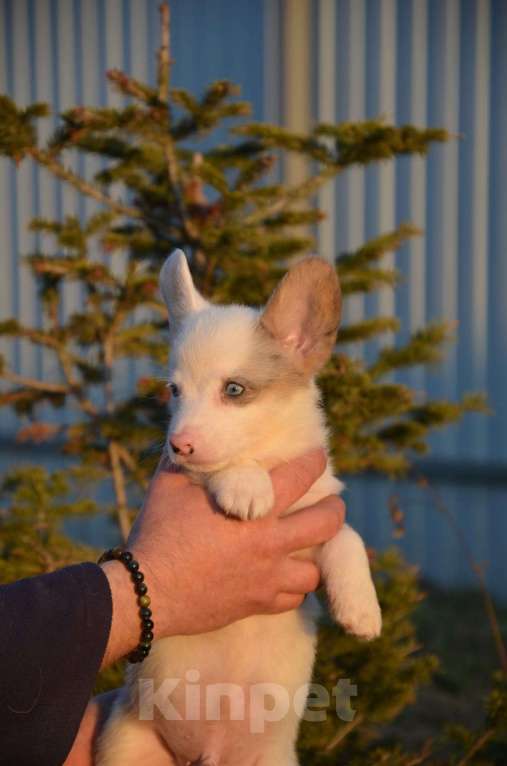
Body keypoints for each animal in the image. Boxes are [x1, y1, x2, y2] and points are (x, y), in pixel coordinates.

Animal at [98, 254, 380, 766]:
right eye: (174, 390)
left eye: (234, 389)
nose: (178, 443)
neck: (270, 456)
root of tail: (204, 754)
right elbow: (222, 468)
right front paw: (246, 485)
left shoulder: (317, 519)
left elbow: (347, 537)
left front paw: (361, 608)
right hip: (124, 747)